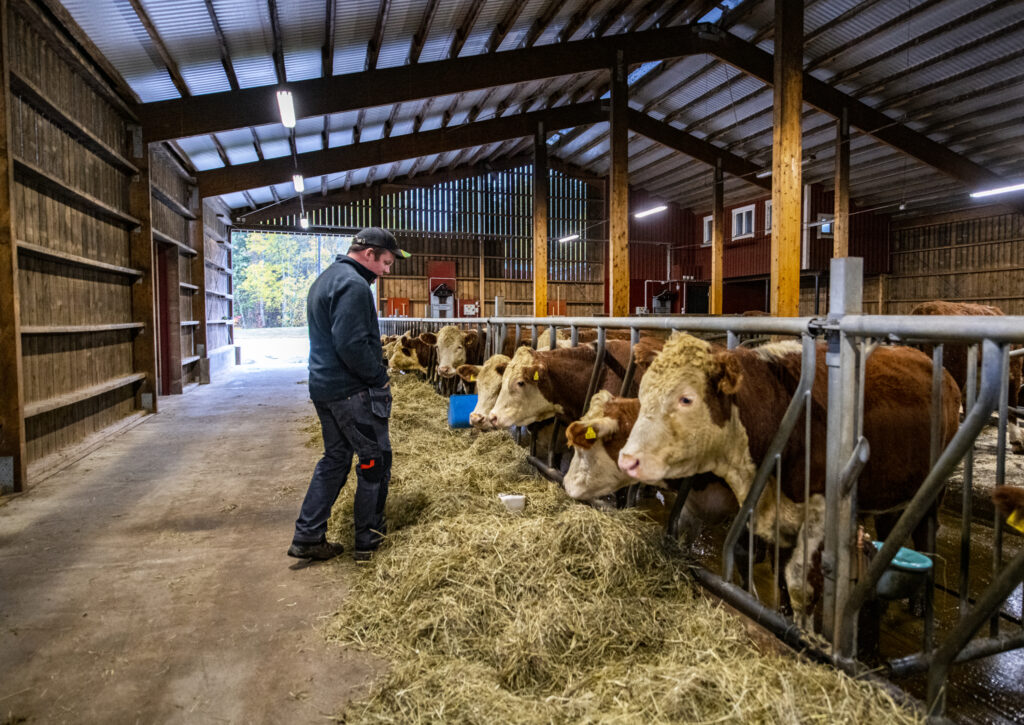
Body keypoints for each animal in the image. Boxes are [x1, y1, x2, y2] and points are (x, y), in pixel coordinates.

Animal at [614, 333, 958, 622]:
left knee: (924, 533)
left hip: (934, 490)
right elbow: (774, 572)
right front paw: (778, 615)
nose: (628, 459)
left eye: (686, 399)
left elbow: (798, 585)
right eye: (643, 392)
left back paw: (920, 604)